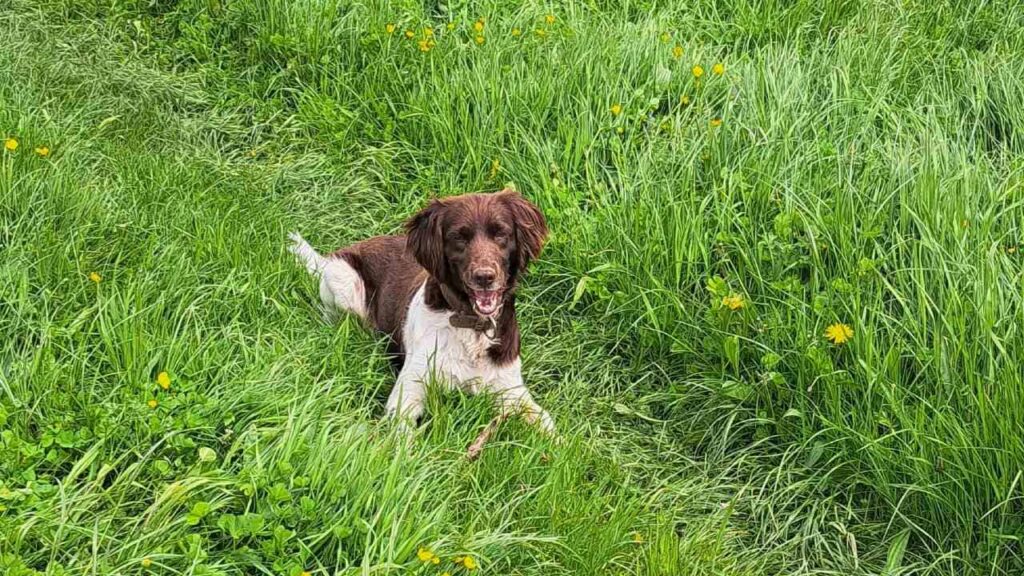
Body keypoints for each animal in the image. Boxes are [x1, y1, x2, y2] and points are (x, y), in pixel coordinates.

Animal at [288, 188, 557, 430]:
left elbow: (549, 425)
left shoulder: (511, 390)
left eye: (501, 233)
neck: (472, 325)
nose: (484, 277)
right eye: (459, 237)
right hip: (344, 280)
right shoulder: (410, 387)